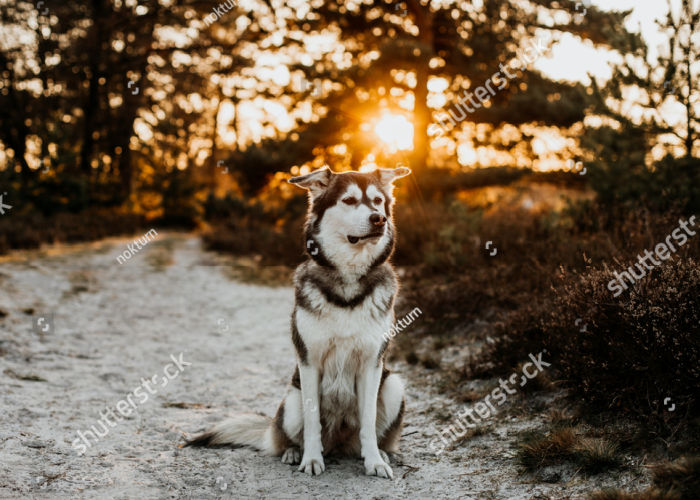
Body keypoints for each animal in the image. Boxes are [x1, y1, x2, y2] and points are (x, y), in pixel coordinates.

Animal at [189, 166, 412, 478]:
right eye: (349, 200)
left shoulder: (372, 364)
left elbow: (368, 422)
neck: (348, 280)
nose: (379, 219)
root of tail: (339, 443)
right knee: (288, 435)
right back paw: (294, 452)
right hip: (291, 401)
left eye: (378, 201)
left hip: (393, 386)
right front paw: (311, 459)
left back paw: (381, 453)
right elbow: (313, 421)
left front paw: (374, 462)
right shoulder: (309, 363)